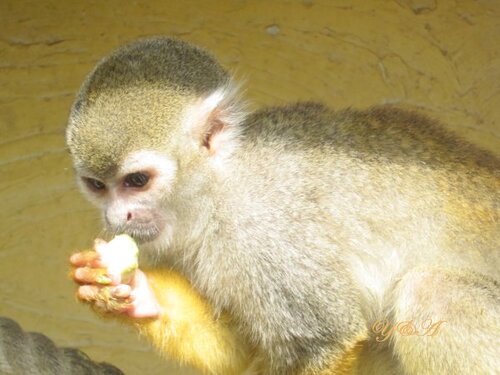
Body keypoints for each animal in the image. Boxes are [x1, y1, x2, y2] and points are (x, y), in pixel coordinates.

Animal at [67, 36, 500, 374]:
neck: (217, 191)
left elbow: (326, 340)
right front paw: (133, 292)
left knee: (433, 289)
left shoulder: (266, 232)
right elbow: (239, 350)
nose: (116, 216)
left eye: (137, 181)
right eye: (97, 186)